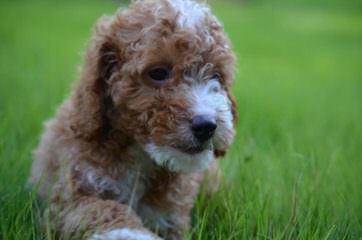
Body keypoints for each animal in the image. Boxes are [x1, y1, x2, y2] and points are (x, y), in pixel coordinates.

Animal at [29, 0, 238, 239]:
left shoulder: (171, 217)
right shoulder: (71, 197)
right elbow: (103, 209)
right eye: (158, 73)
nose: (207, 125)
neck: (139, 154)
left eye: (216, 76)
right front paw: (132, 233)